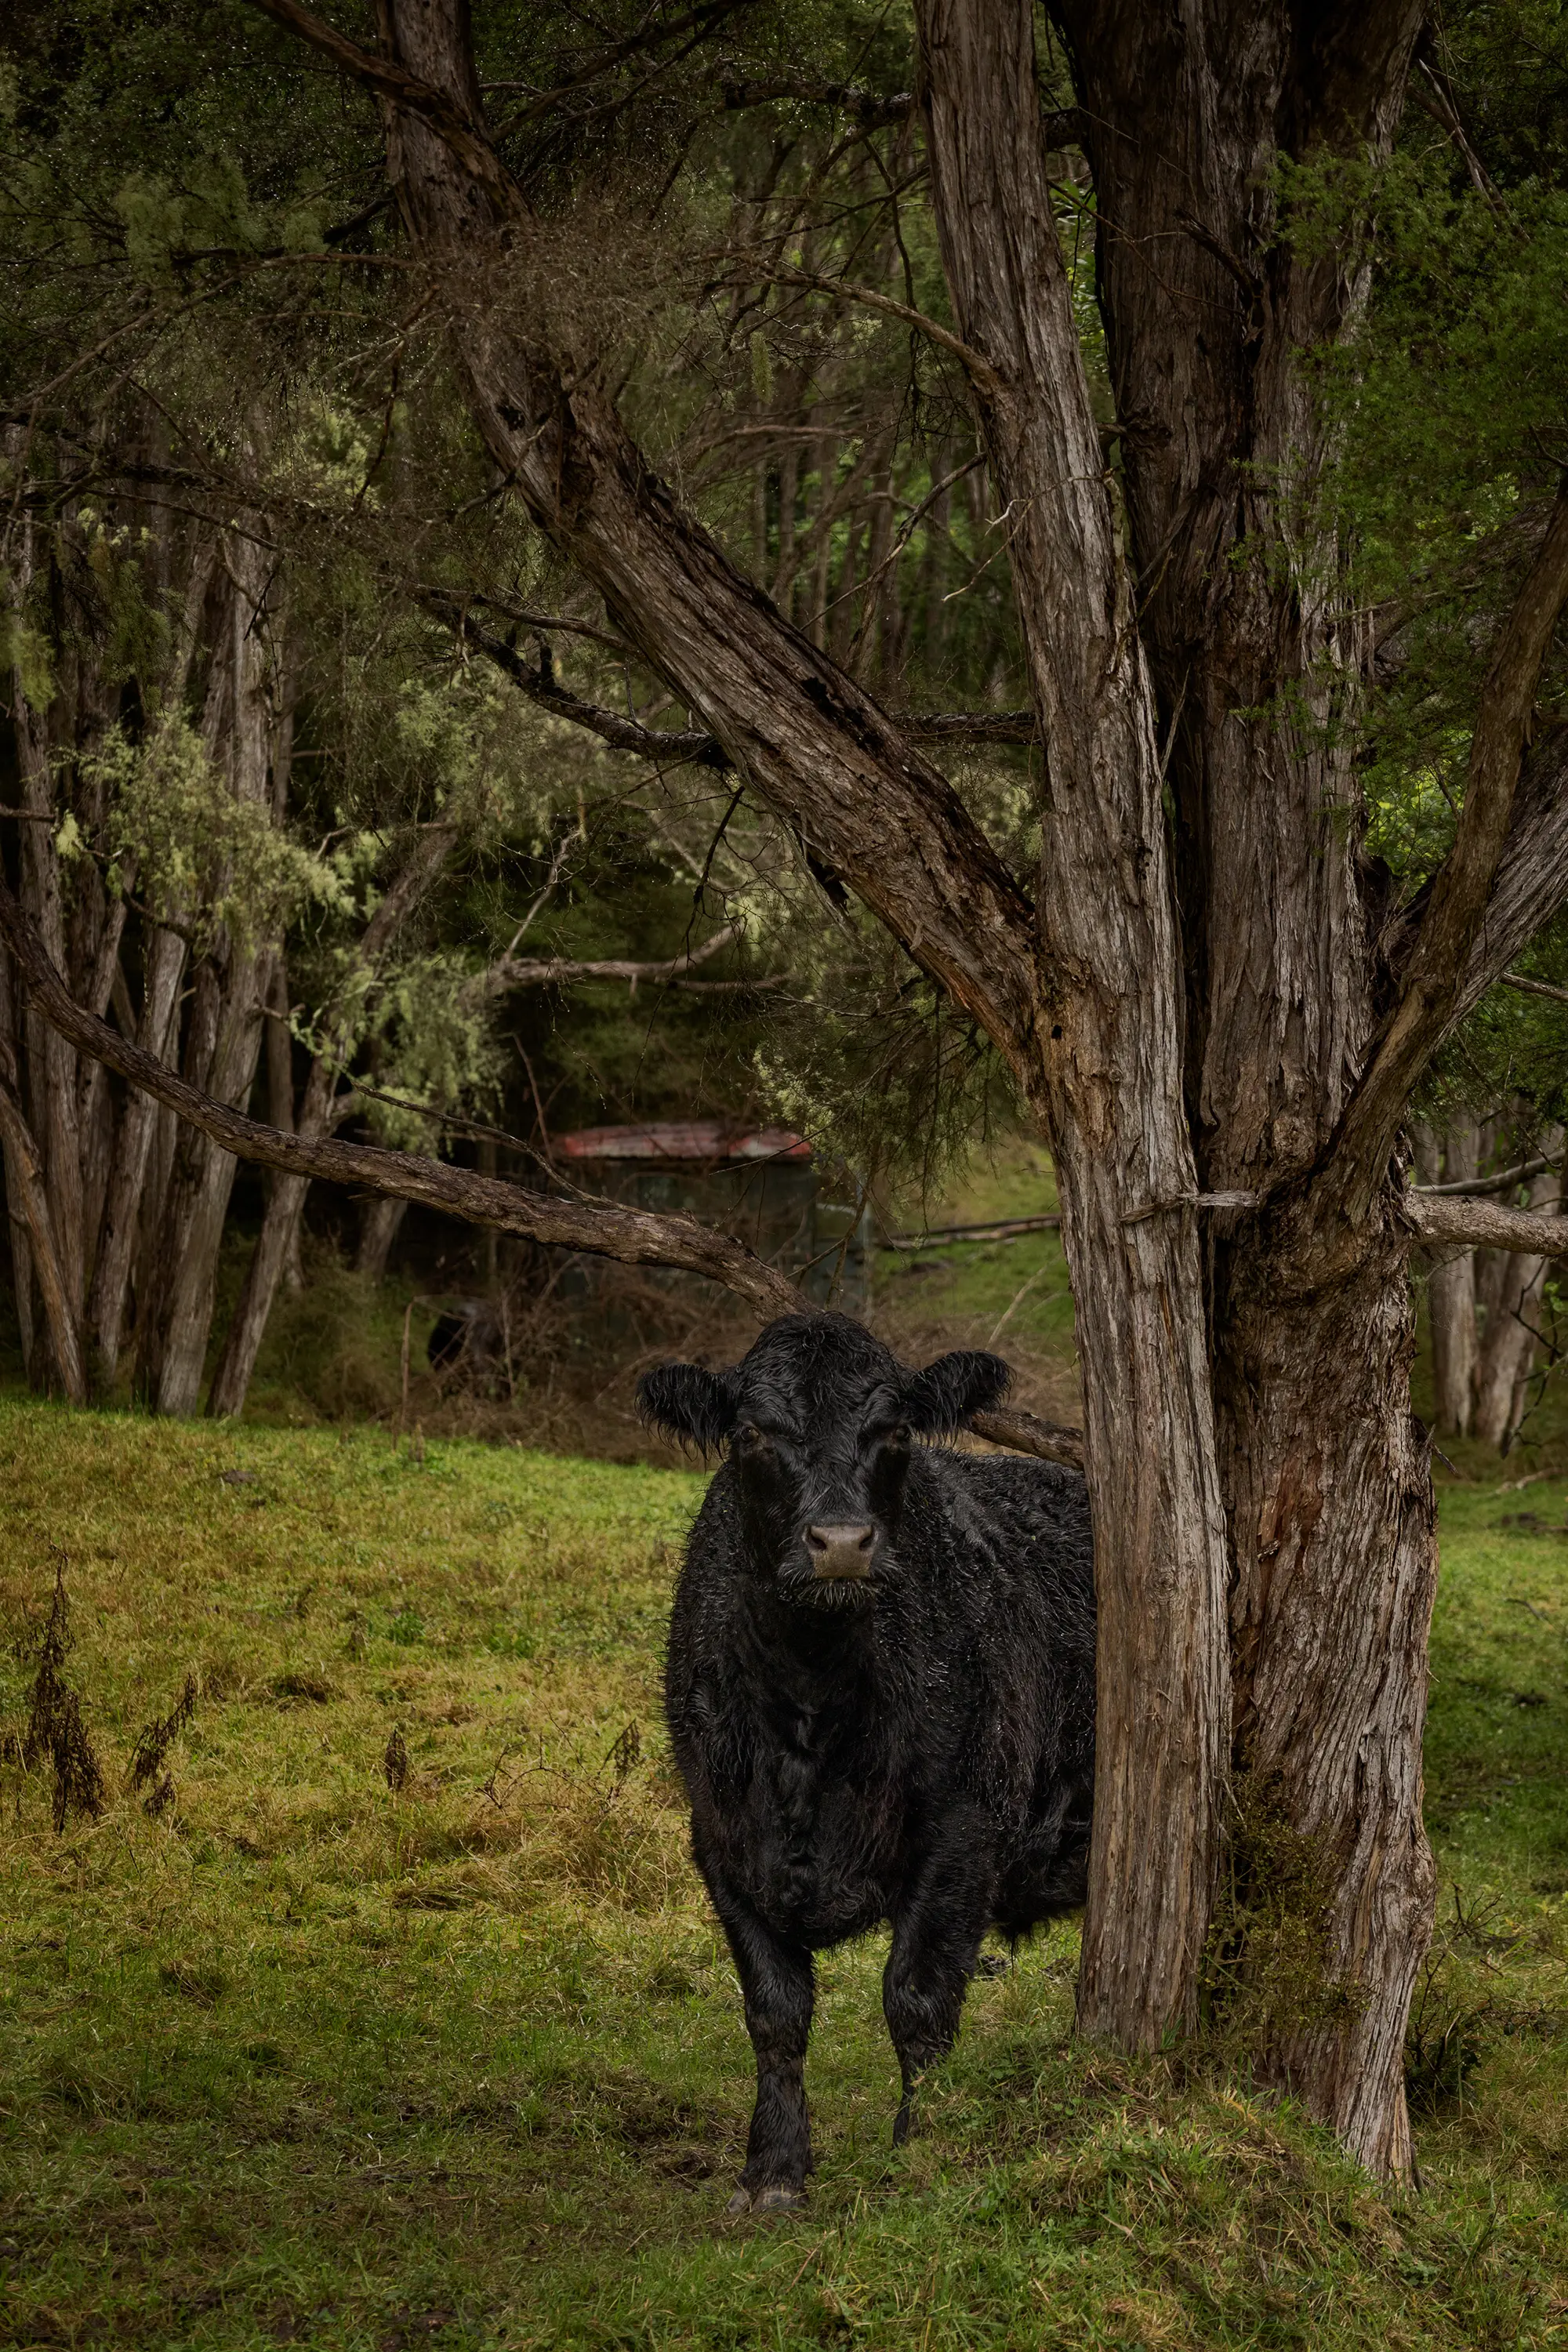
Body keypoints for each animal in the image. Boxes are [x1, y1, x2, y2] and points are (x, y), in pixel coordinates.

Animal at [638, 1311, 1095, 2211]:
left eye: (894, 1431)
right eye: (752, 1432)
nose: (842, 1543)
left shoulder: (962, 1836)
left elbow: (917, 2002)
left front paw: (920, 2152)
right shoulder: (720, 1839)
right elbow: (775, 2011)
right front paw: (772, 2171)